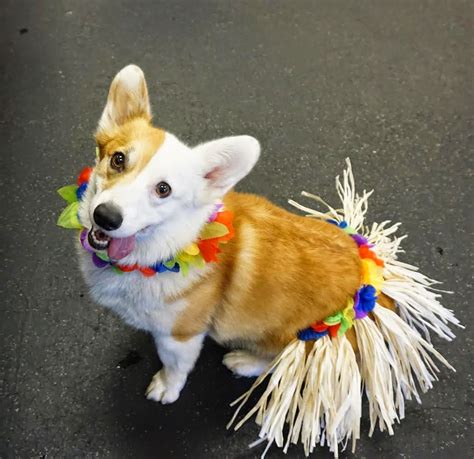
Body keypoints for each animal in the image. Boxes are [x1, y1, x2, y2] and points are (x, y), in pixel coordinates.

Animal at [78, 63, 366, 402]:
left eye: (163, 189)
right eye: (118, 159)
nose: (106, 216)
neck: (166, 248)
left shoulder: (181, 336)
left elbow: (174, 366)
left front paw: (166, 388)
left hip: (303, 339)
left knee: (280, 359)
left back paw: (244, 360)